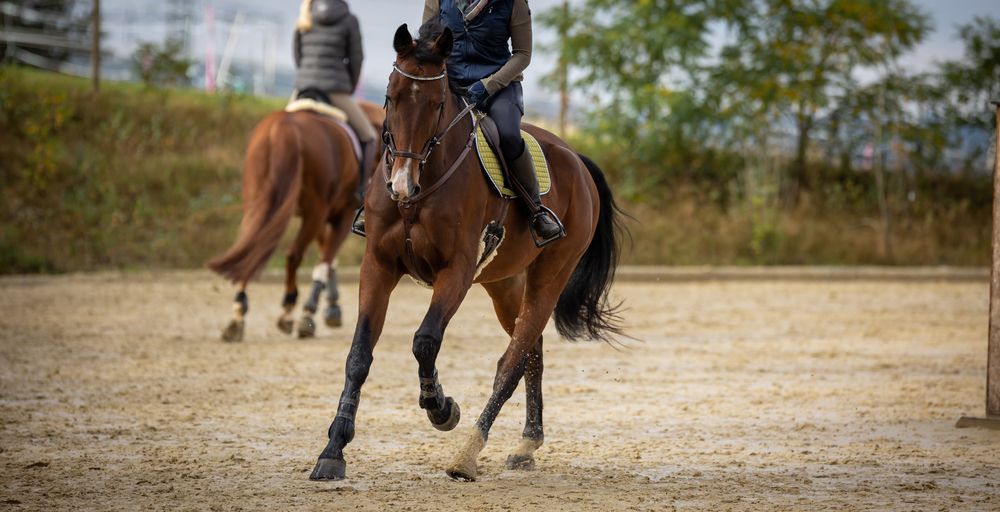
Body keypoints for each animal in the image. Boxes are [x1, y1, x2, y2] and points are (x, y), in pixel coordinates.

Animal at [207, 101, 385, 342]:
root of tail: (282, 127)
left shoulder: (323, 216)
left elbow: (327, 256)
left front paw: (332, 308)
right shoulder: (341, 214)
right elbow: (327, 257)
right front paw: (313, 313)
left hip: (259, 201)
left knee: (251, 250)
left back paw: (238, 316)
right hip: (314, 209)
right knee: (293, 254)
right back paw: (291, 313)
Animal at [308, 23, 626, 482]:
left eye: (438, 103)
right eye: (390, 96)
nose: (401, 184)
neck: (422, 188)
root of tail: (576, 159)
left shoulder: (455, 271)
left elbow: (425, 341)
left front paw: (441, 408)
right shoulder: (379, 266)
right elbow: (359, 355)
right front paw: (333, 450)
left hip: (550, 275)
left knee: (511, 362)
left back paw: (468, 454)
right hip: (505, 284)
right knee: (532, 352)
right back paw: (527, 444)